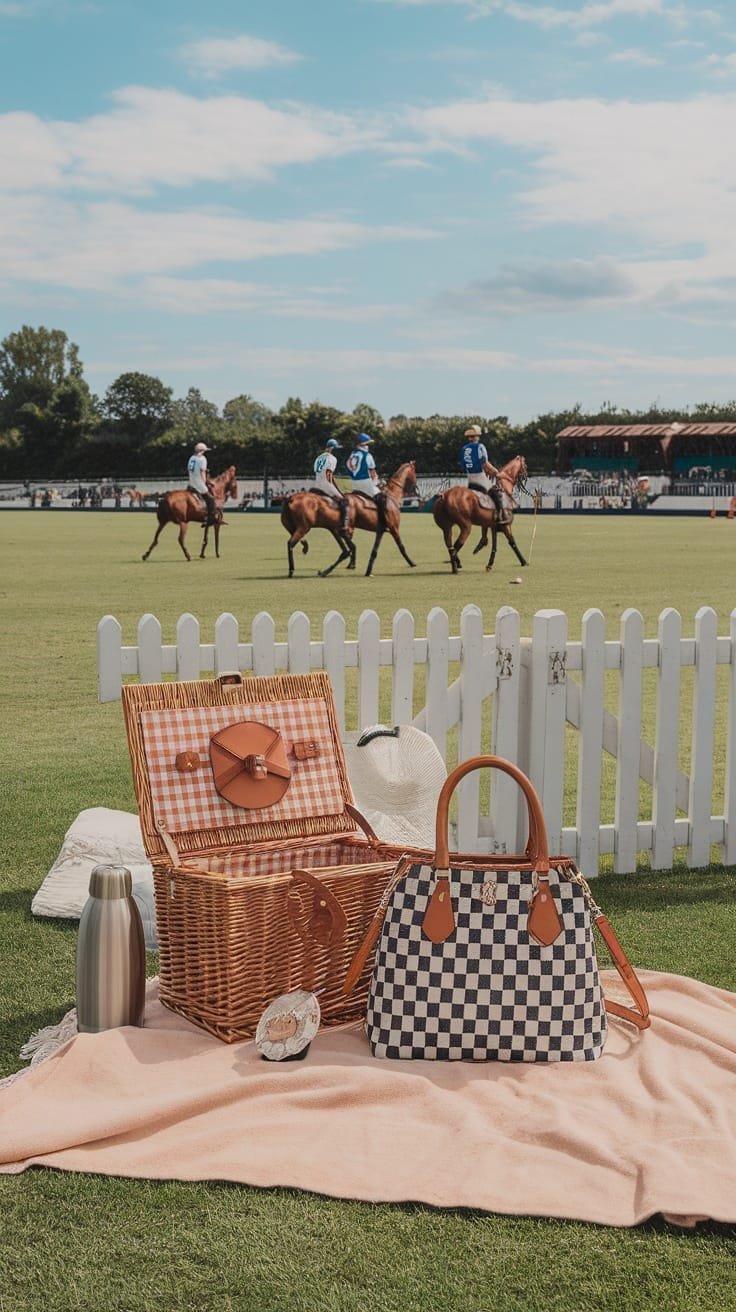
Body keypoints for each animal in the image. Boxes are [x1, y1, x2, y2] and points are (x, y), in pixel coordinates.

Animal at [279, 464, 419, 582]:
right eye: (414, 472)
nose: (417, 490)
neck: (392, 495)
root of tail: (290, 498)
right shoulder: (394, 527)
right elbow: (401, 547)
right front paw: (412, 562)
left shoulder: (380, 530)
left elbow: (373, 551)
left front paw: (363, 568)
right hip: (306, 526)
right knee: (291, 543)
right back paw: (292, 570)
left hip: (301, 525)